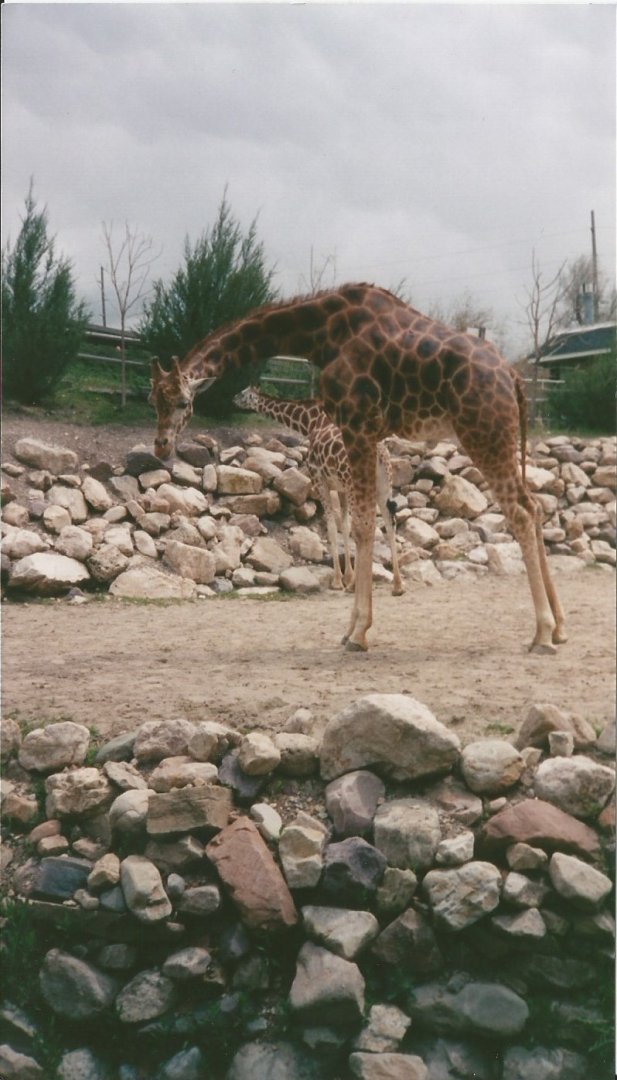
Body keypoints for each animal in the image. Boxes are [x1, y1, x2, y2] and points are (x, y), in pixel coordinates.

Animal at [232, 386, 405, 595]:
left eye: (243, 393)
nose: (232, 399)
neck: (312, 422)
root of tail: (379, 452)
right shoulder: (340, 487)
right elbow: (343, 525)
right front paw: (348, 576)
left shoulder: (319, 480)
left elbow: (331, 526)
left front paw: (339, 581)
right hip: (383, 486)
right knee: (389, 522)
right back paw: (398, 585)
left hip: (358, 484)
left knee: (366, 526)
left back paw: (357, 586)